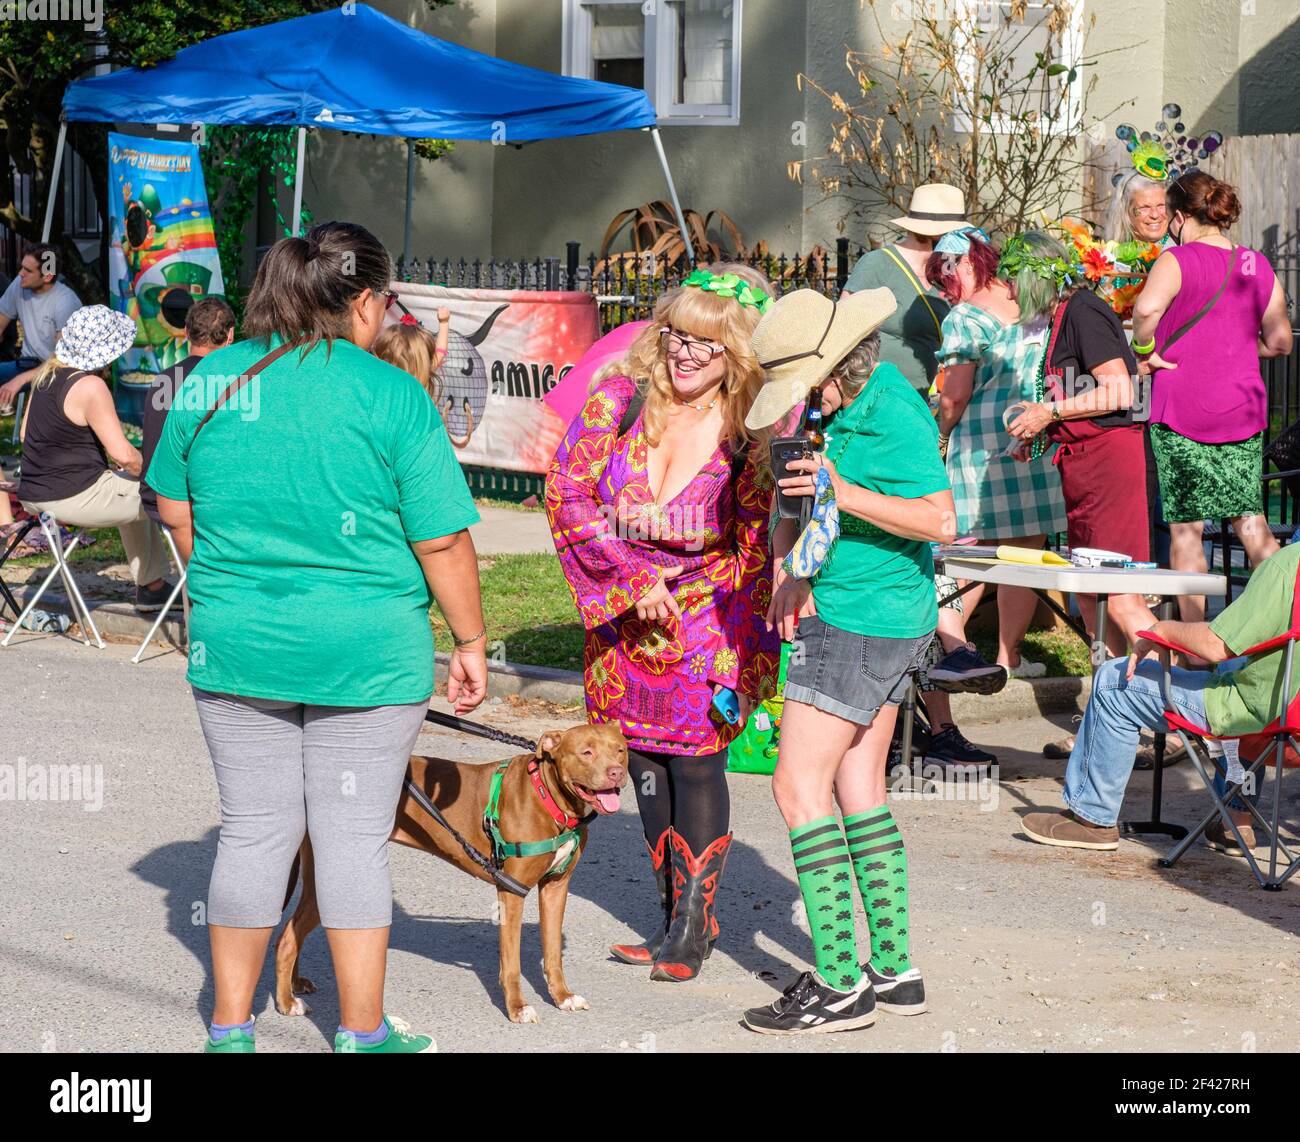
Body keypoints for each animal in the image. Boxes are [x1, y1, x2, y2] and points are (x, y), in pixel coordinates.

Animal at [271, 728, 626, 1035]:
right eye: (586, 752)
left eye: (620, 750)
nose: (616, 773)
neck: (549, 798)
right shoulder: (511, 890)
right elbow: (511, 962)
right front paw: (517, 1008)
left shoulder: (556, 888)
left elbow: (552, 952)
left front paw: (563, 997)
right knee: (287, 936)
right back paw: (287, 1002)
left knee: (293, 929)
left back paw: (295, 984)